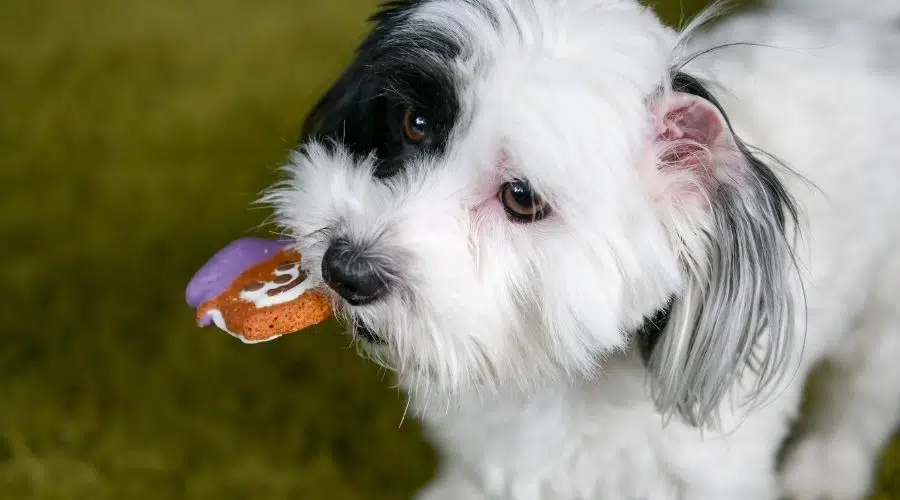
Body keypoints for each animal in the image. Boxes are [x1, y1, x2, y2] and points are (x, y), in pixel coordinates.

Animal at [262, 1, 900, 498]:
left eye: (521, 198)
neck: (551, 373)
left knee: (860, 396)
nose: (343, 268)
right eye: (414, 123)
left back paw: (826, 472)